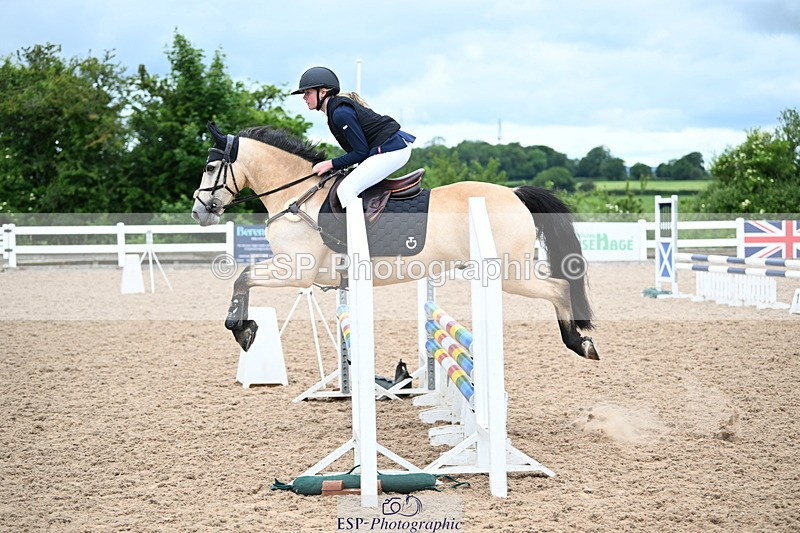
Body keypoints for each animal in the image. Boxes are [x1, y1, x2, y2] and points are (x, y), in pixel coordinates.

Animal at [191, 122, 599, 360]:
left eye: (210, 168)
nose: (199, 212)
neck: (299, 197)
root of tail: (514, 193)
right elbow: (243, 276)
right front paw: (245, 329)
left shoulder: (295, 271)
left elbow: (243, 277)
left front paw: (242, 330)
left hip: (511, 273)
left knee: (560, 288)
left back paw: (580, 343)